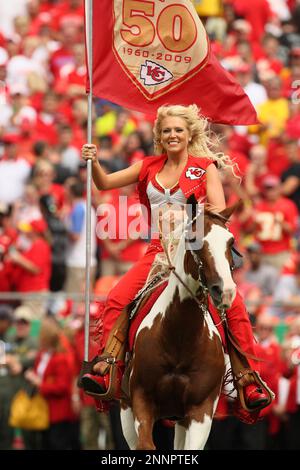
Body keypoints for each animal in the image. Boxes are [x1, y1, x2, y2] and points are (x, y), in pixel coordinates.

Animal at [119, 196, 239, 452]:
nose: (224, 291)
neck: (179, 337)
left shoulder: (201, 411)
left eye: (230, 241)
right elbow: (146, 445)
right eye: (194, 238)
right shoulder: (140, 400)